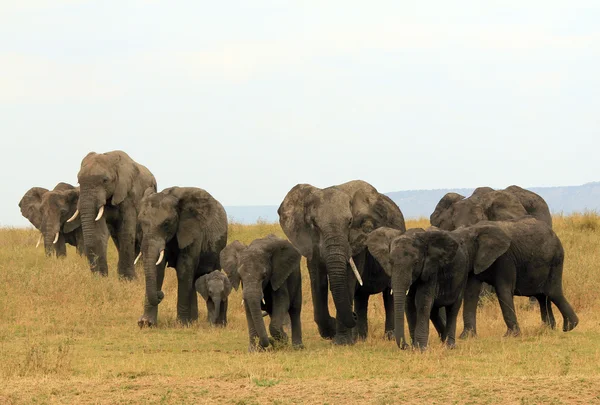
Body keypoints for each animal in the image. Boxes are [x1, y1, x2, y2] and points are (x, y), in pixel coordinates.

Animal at [72, 150, 157, 280]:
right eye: (78, 182)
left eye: (105, 180)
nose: (99, 275)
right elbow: (99, 231)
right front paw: (102, 279)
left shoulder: (128, 195)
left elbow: (126, 231)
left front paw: (128, 280)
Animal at [137, 186, 229, 326]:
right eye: (140, 222)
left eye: (166, 223)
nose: (160, 294)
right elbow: (158, 269)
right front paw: (146, 323)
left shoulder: (193, 231)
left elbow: (184, 269)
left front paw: (181, 324)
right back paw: (194, 320)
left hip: (218, 247)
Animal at [278, 180, 406, 344]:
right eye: (314, 224)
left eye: (350, 222)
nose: (353, 316)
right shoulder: (311, 243)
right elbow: (317, 281)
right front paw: (331, 331)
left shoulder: (357, 242)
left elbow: (348, 278)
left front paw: (342, 342)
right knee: (361, 296)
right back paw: (359, 338)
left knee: (389, 295)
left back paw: (389, 337)